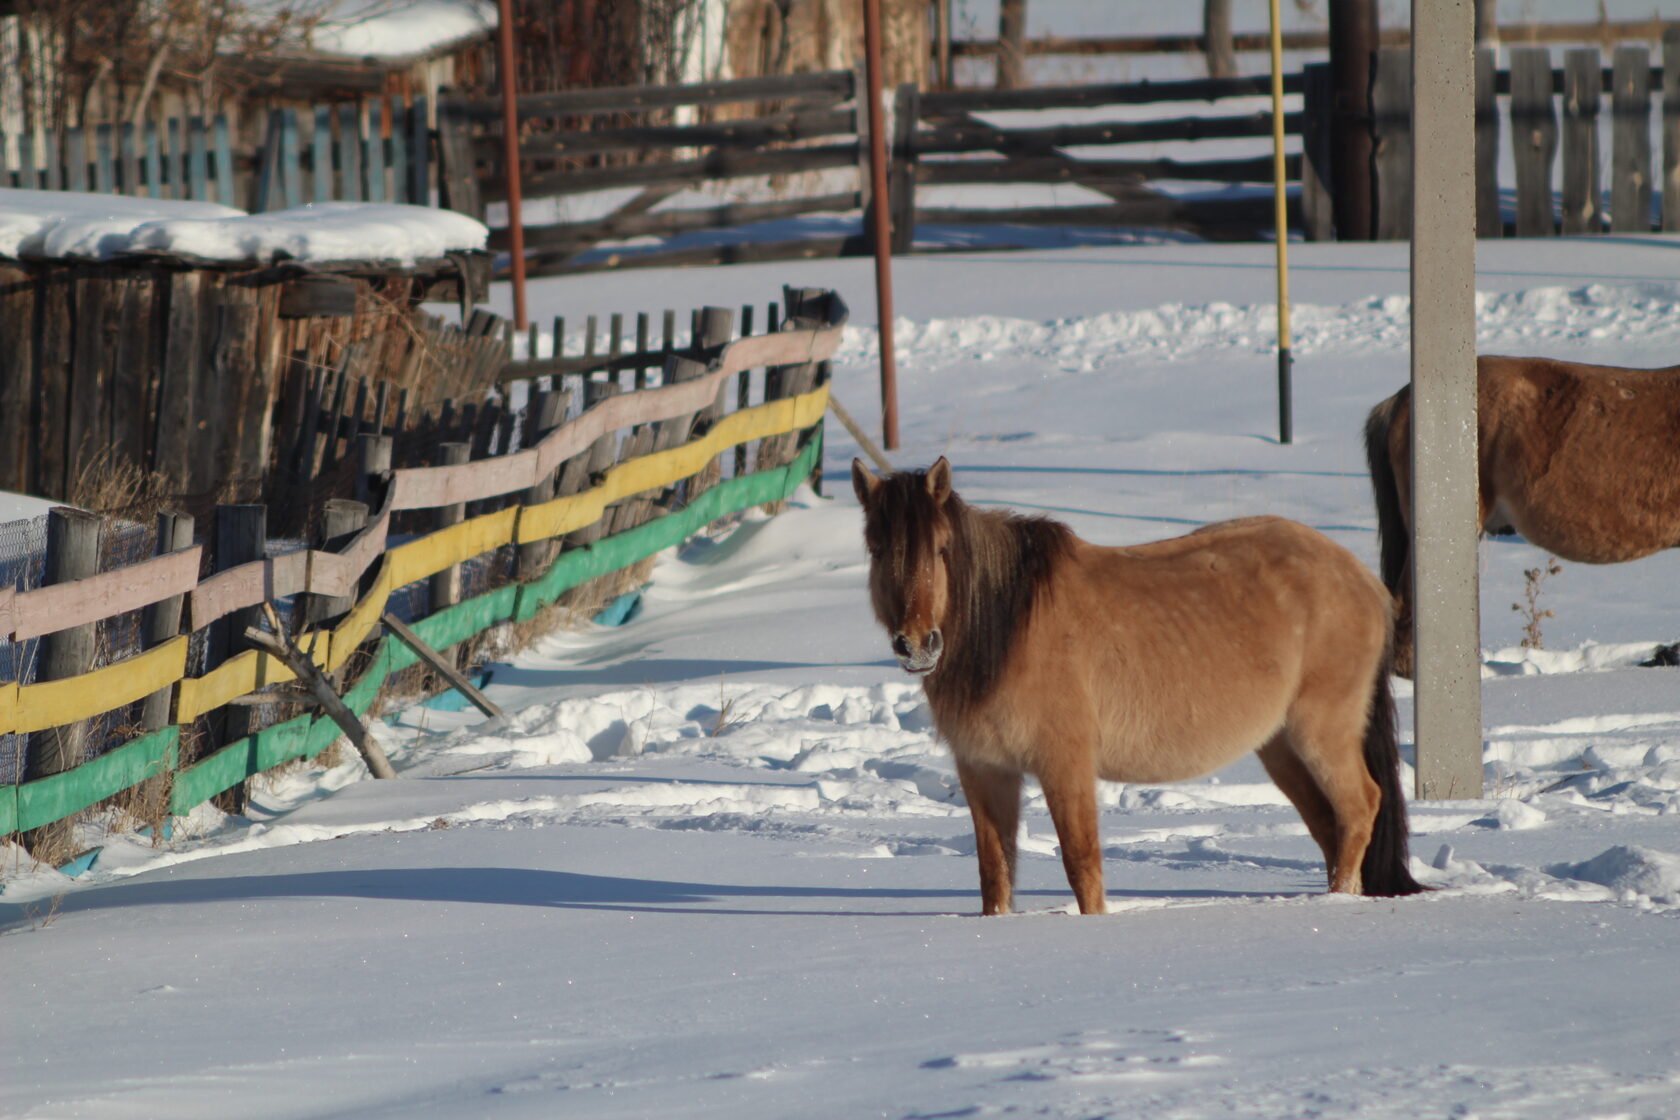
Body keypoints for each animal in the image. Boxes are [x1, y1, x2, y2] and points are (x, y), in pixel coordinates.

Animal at [853, 456, 1417, 920]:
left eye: (942, 549)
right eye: (877, 550)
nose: (917, 645)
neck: (1009, 626)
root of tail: (1364, 581)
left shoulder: (1065, 764)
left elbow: (1081, 863)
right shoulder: (985, 771)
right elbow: (995, 874)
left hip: (1320, 733)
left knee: (1359, 807)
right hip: (1279, 746)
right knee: (1328, 824)